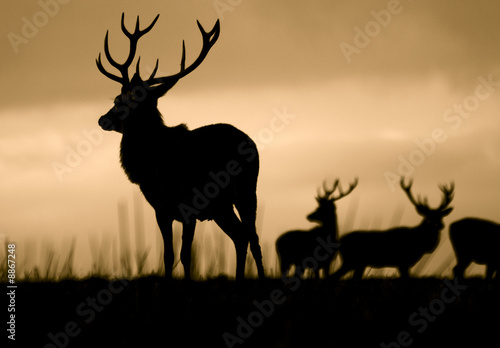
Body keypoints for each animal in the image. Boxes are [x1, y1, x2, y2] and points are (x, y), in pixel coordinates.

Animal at [94, 12, 266, 280]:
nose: (103, 119)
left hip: (247, 190)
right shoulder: (160, 210)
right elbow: (168, 255)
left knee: (253, 238)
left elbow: (186, 256)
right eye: (117, 97)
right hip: (222, 207)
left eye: (128, 100)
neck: (153, 170)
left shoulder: (190, 206)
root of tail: (251, 142)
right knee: (240, 237)